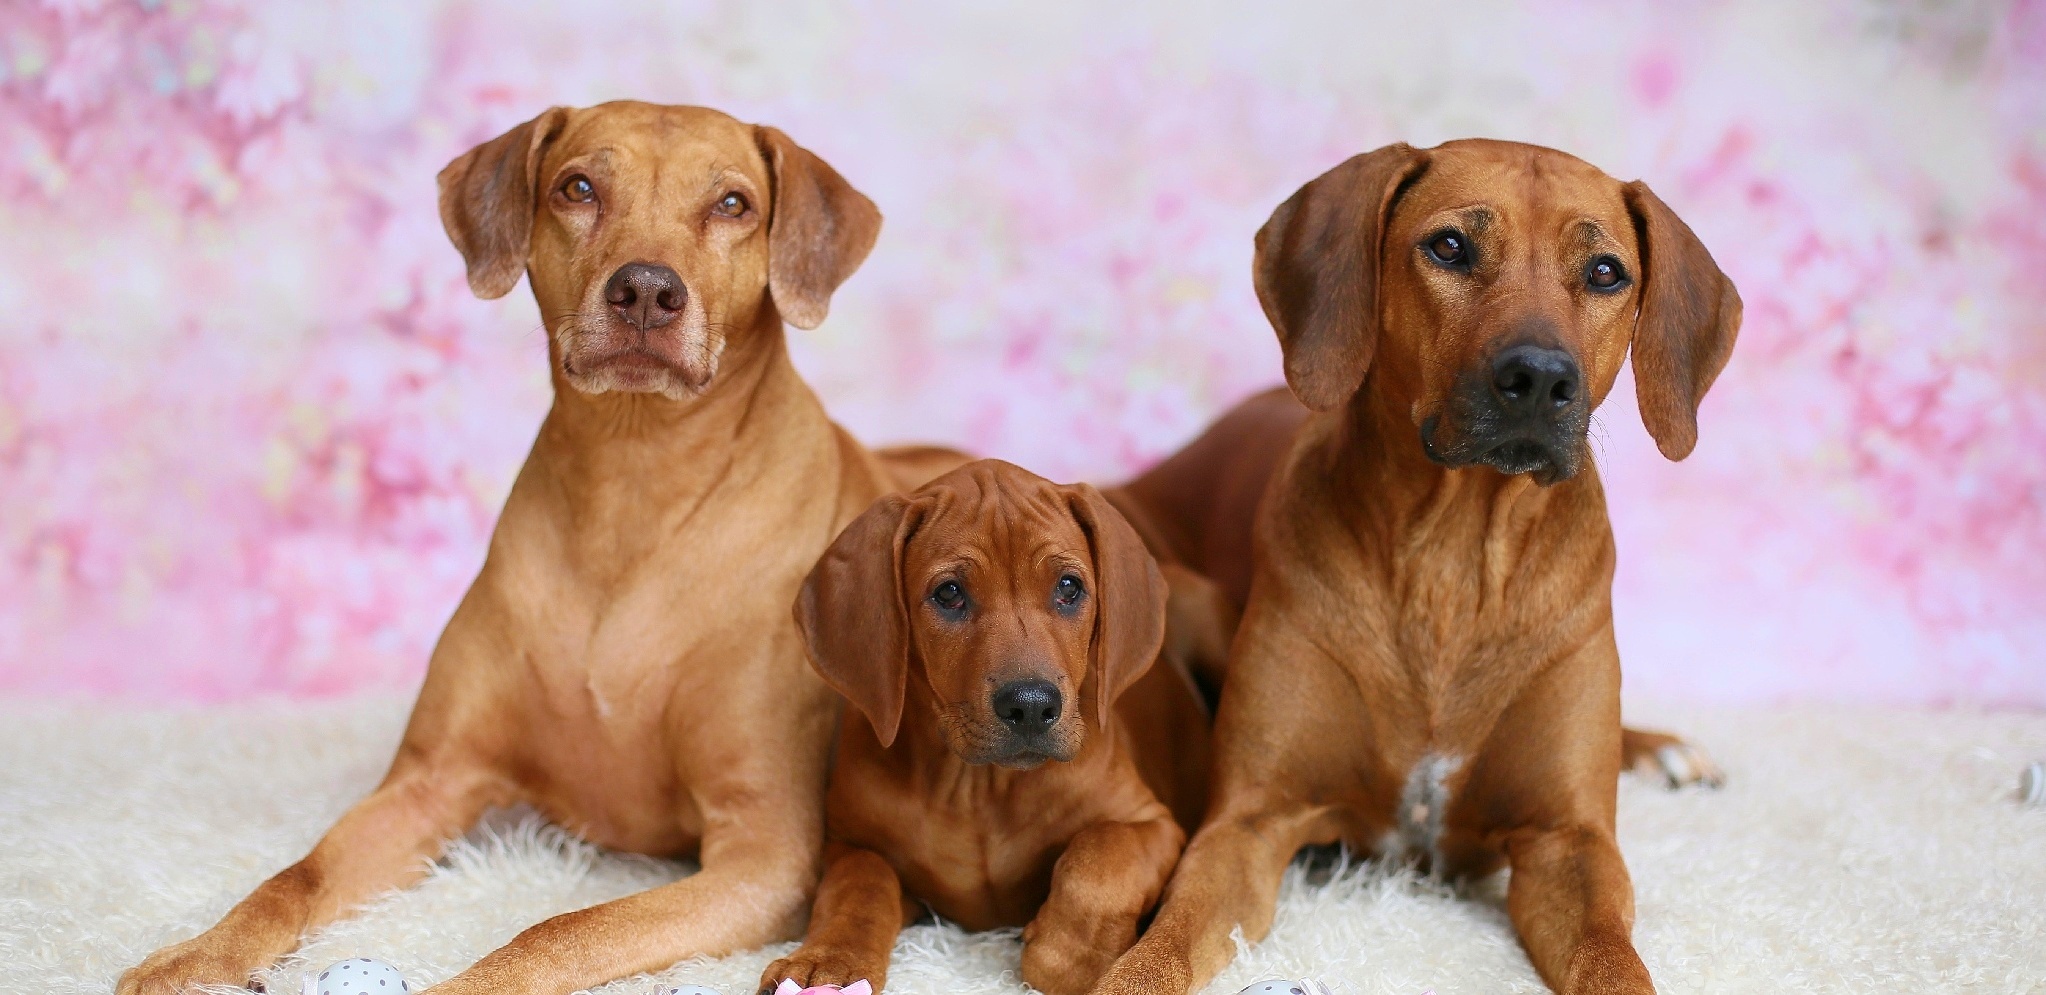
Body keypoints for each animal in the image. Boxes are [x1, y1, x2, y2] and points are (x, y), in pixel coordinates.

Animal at [119, 100, 965, 995]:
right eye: (578, 187)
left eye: (734, 204)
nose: (646, 289)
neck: (634, 478)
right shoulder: (429, 781)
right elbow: (294, 877)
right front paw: (201, 954)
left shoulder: (762, 851)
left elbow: (563, 927)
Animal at [765, 458, 1211, 995]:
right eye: (949, 593)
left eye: (1068, 588)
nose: (1032, 706)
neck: (979, 789)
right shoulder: (850, 843)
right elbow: (860, 882)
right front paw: (828, 962)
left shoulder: (1154, 823)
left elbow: (1103, 854)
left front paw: (1072, 955)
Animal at [1088, 140, 1743, 995]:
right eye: (1449, 247)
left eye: (1605, 271)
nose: (1540, 376)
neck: (1452, 556)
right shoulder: (1248, 822)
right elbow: (1168, 936)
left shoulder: (1570, 840)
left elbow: (1612, 957)